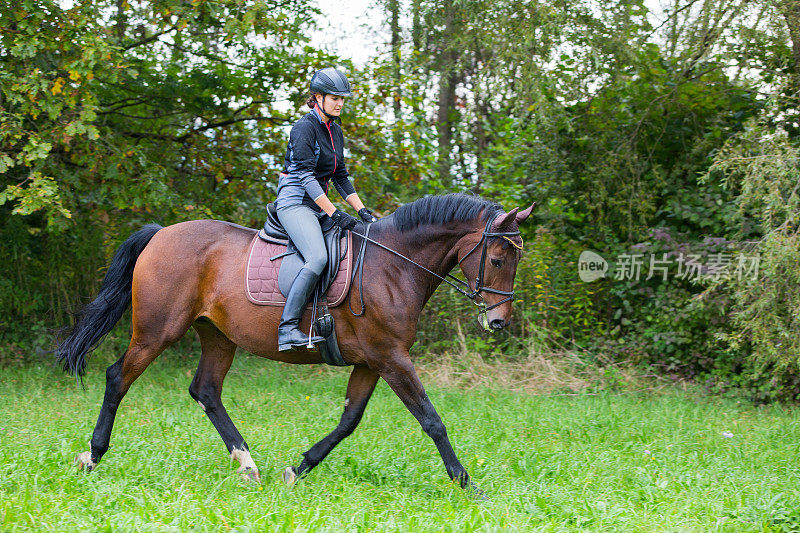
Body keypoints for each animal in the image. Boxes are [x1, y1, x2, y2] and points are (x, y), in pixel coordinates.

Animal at [59, 191, 536, 490]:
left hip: (218, 336)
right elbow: (431, 419)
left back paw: (248, 465)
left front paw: (298, 468)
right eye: (497, 259)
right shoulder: (390, 358)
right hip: (157, 331)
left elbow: (349, 422)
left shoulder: (371, 362)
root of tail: (160, 233)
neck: (393, 266)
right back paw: (92, 456)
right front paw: (467, 483)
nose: (499, 322)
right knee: (117, 378)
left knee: (206, 391)